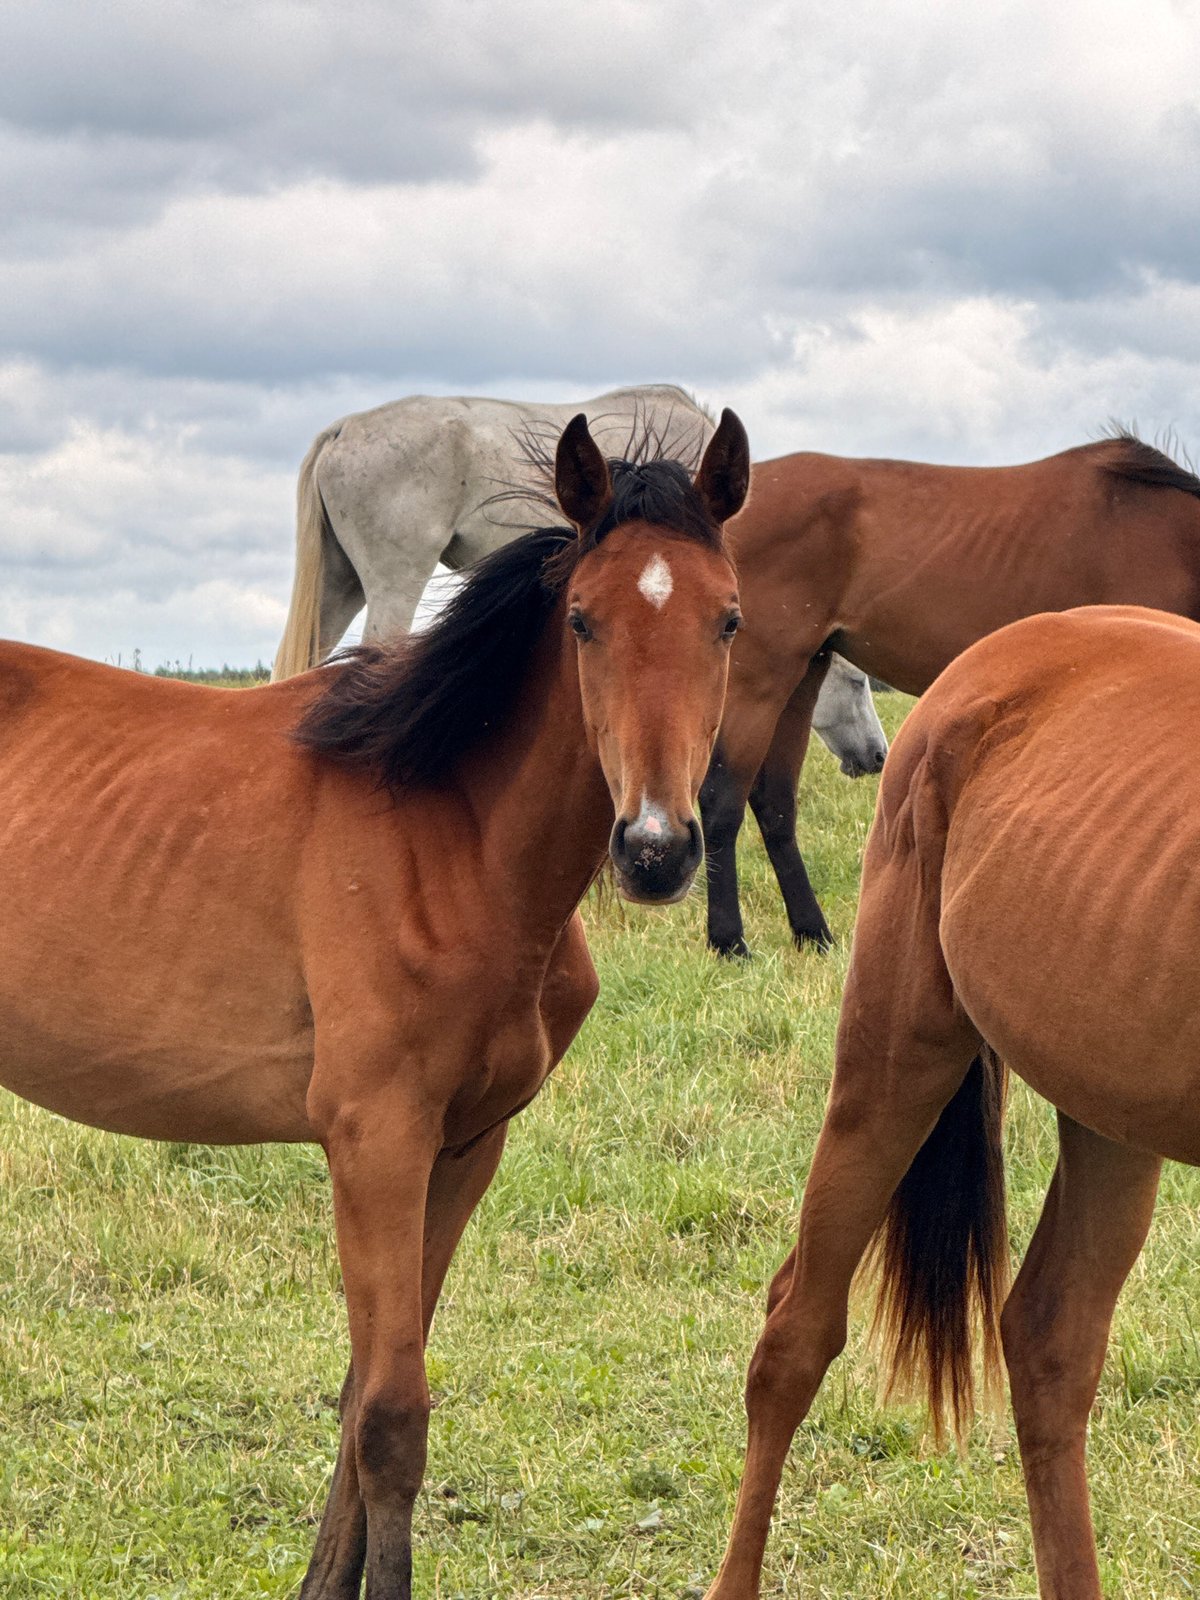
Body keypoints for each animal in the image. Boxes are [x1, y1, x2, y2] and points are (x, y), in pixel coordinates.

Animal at [0, 410, 750, 1599]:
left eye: (727, 617)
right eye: (582, 620)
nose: (655, 849)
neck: (449, 837)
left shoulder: (461, 1147)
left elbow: (364, 1392)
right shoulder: (376, 1143)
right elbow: (394, 1415)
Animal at [702, 431, 1200, 956]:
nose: (876, 756)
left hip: (803, 674)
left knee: (774, 802)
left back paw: (813, 933)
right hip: (760, 678)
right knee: (722, 799)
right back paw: (729, 942)